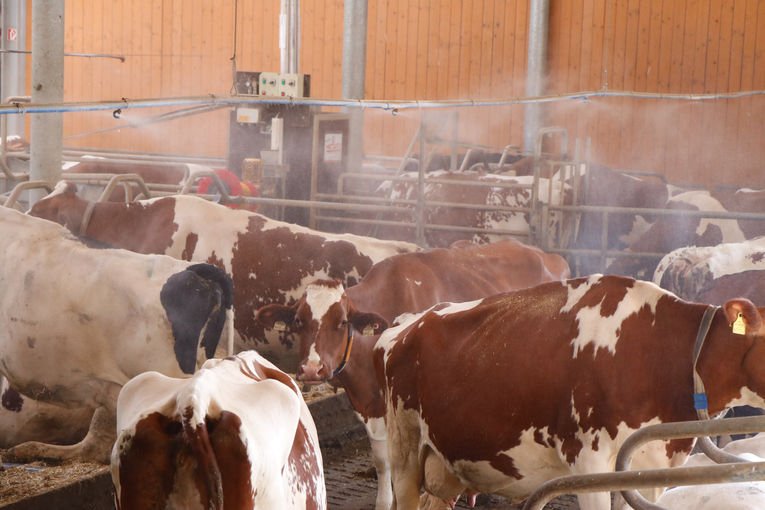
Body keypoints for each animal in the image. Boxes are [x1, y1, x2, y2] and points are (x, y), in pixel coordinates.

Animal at [255, 240, 568, 510]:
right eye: (298, 321)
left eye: (342, 322)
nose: (311, 369)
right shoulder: (374, 406)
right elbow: (383, 460)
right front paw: (384, 501)